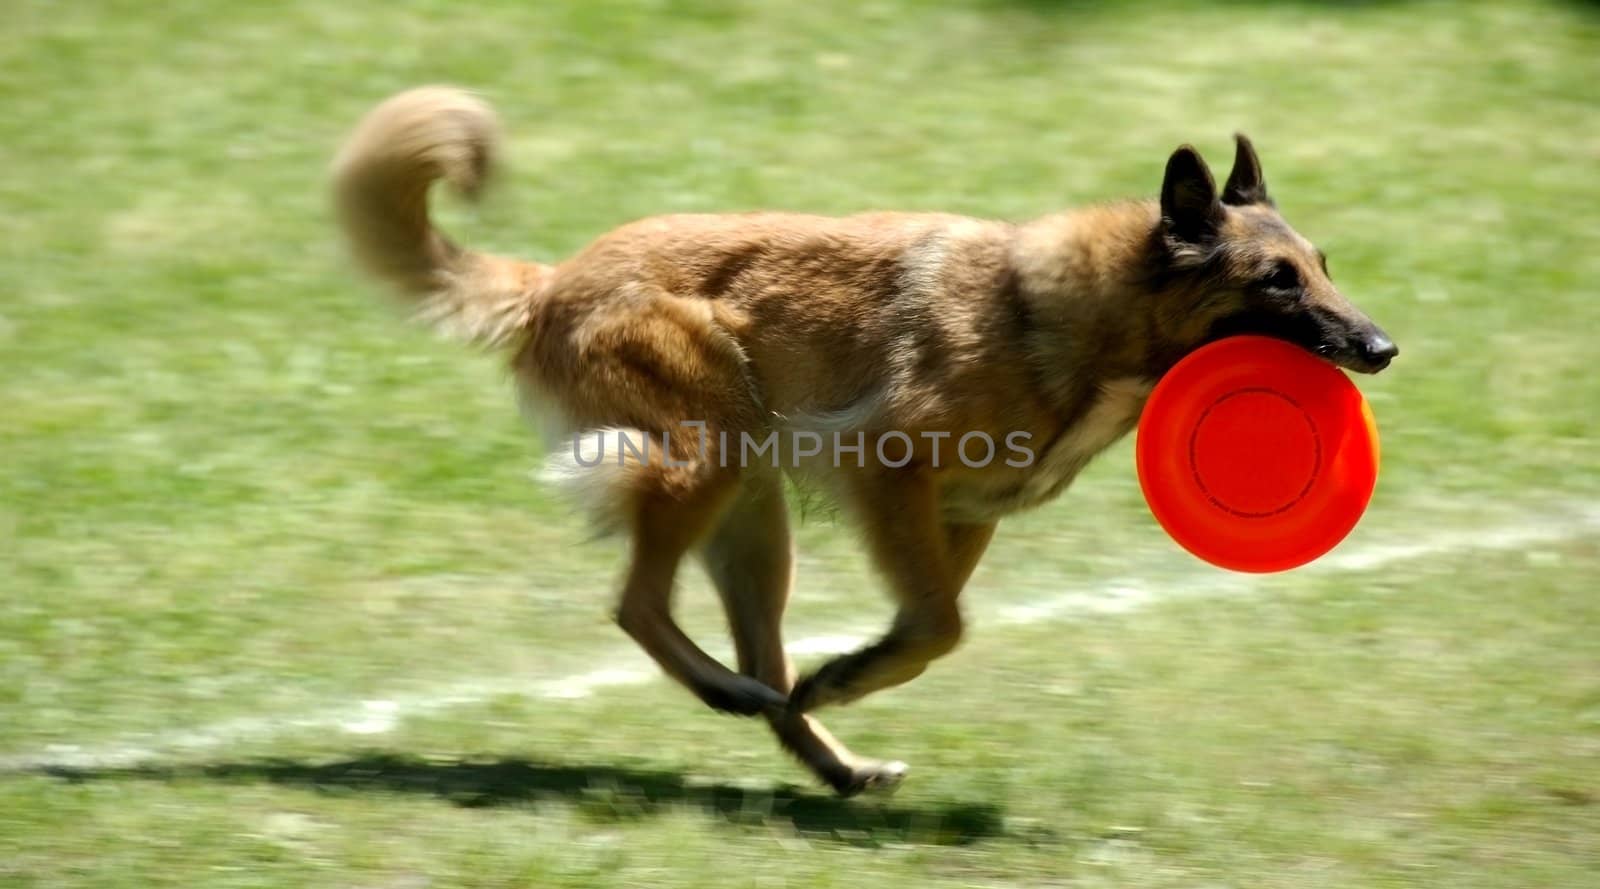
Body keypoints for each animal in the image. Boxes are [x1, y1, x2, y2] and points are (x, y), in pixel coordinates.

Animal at [331, 86, 1395, 796]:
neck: (1067, 316)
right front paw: (846, 673)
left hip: (753, 519)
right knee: (639, 606)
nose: (1383, 348)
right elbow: (941, 623)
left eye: (1323, 265)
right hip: (711, 456)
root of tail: (552, 282)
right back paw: (733, 694)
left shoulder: (962, 516)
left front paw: (846, 675)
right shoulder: (889, 471)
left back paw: (826, 757)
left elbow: (931, 627)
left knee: (759, 662)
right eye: (1277, 280)